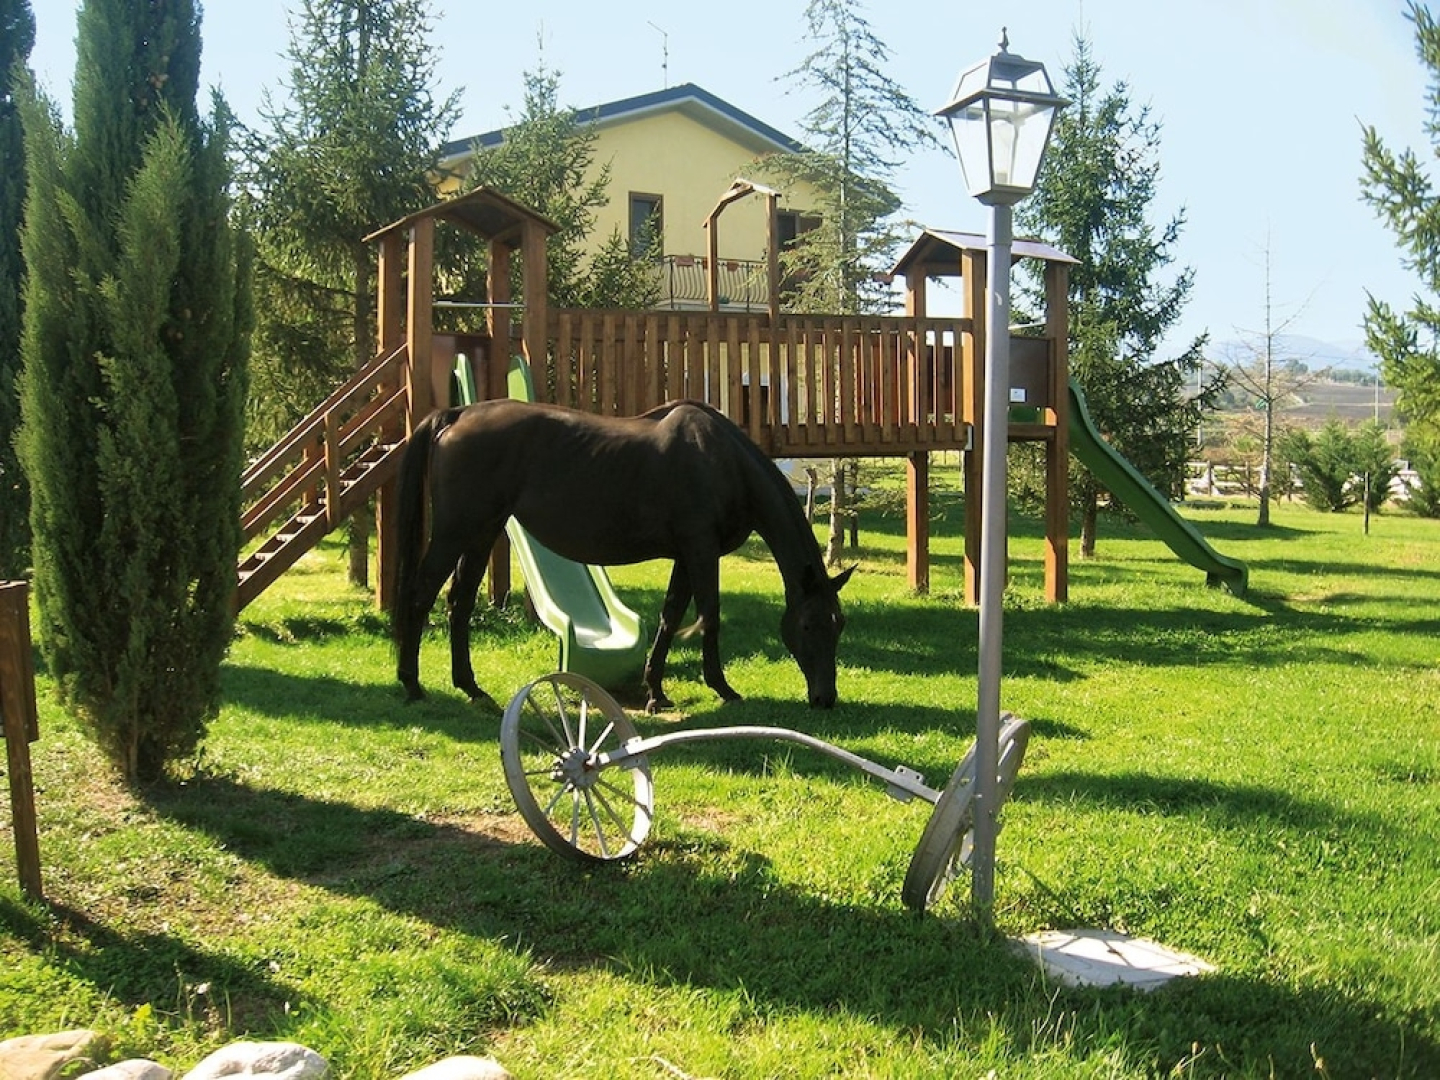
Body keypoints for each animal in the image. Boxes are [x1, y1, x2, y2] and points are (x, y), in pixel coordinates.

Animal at [391, 397, 853, 712]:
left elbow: (670, 618)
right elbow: (709, 616)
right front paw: (722, 687)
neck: (722, 462)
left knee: (459, 602)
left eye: (839, 624)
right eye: (808, 625)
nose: (825, 697)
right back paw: (412, 684)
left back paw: (470, 687)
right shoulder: (701, 551)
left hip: (481, 532)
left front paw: (656, 692)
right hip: (456, 531)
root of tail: (457, 414)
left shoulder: (686, 556)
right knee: (420, 596)